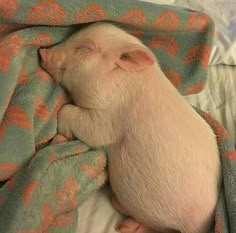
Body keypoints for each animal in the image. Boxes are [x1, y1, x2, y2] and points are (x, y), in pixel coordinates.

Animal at [38, 22, 221, 233]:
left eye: (87, 48)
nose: (42, 51)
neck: (115, 81)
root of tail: (204, 224)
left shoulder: (106, 122)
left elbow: (71, 115)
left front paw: (61, 136)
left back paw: (122, 224)